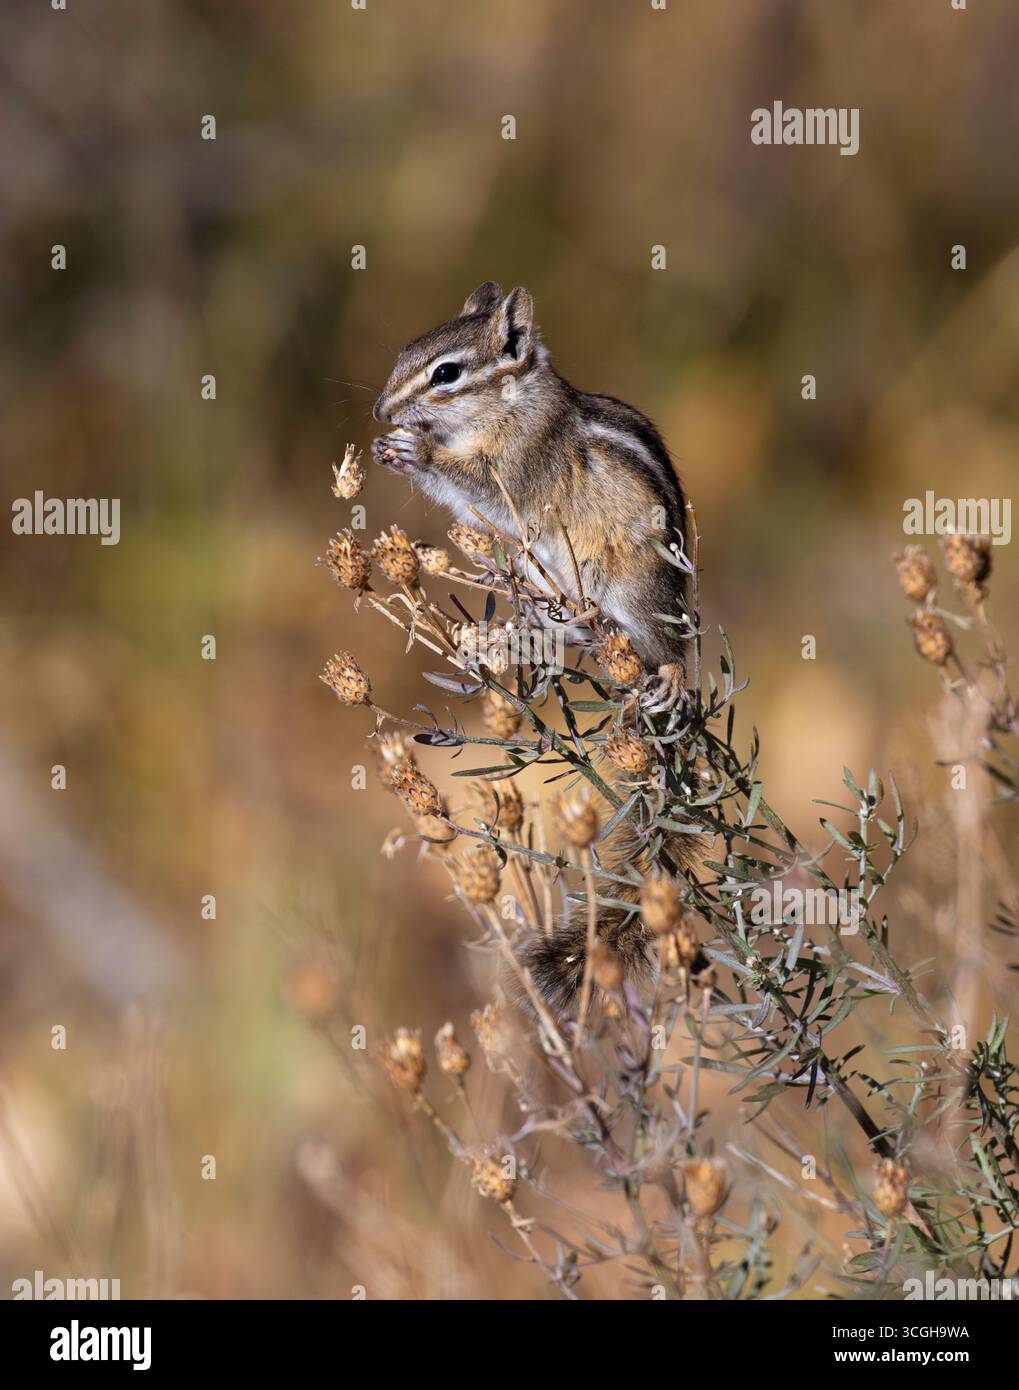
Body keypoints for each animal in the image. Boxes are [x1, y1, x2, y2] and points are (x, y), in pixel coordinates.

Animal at [372, 282, 696, 1010]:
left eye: (446, 373)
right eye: (402, 353)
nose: (380, 410)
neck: (514, 403)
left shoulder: (518, 467)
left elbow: (481, 486)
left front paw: (417, 455)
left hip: (637, 589)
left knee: (666, 649)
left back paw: (665, 676)